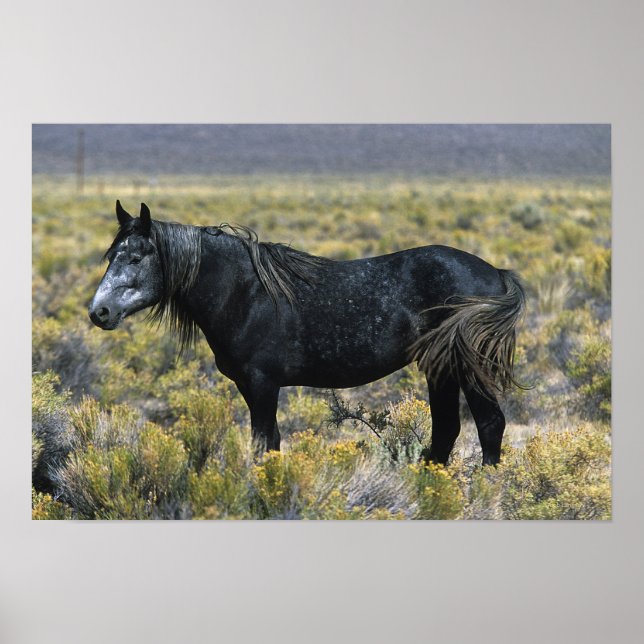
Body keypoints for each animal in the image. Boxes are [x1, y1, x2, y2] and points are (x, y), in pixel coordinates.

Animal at [89, 201, 525, 465]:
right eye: (111, 255)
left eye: (136, 257)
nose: (99, 312)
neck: (244, 291)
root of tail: (495, 273)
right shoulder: (250, 386)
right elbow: (272, 442)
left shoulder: (263, 384)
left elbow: (263, 443)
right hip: (440, 368)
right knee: (447, 429)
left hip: (467, 368)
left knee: (489, 425)